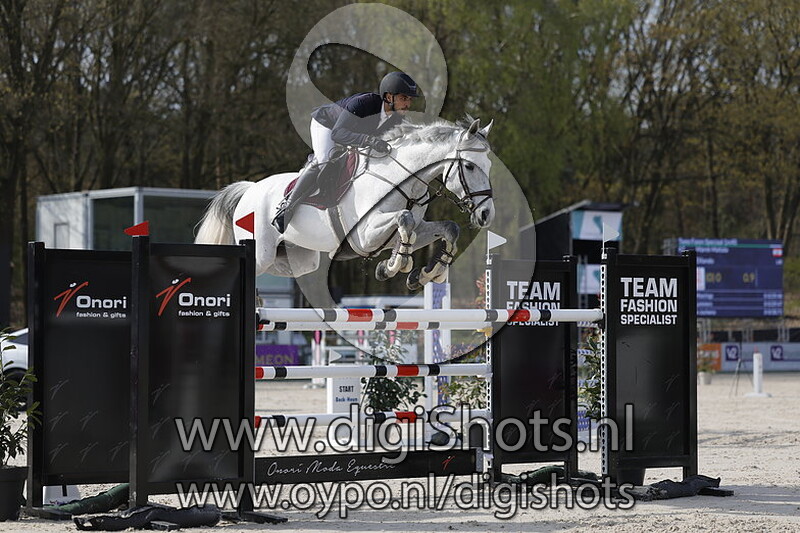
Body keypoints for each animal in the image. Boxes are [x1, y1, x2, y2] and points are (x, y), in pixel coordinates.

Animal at [194, 117, 495, 291]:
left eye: (488, 165)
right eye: (469, 166)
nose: (486, 214)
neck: (401, 178)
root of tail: (249, 189)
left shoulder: (411, 229)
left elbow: (448, 229)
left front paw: (426, 273)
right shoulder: (364, 235)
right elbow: (404, 219)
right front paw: (395, 266)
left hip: (299, 258)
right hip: (261, 251)